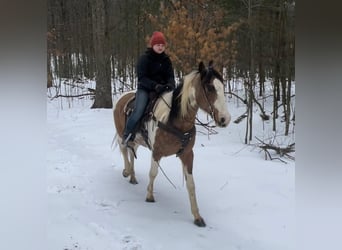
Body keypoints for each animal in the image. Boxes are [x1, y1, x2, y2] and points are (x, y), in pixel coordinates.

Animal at [113, 60, 231, 227]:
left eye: (222, 85)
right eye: (210, 87)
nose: (225, 119)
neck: (174, 120)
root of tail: (122, 97)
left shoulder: (188, 154)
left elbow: (191, 184)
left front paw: (197, 216)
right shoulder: (157, 152)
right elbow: (153, 173)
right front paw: (149, 196)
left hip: (137, 139)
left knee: (131, 150)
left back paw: (133, 177)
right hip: (122, 134)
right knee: (124, 149)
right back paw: (127, 171)